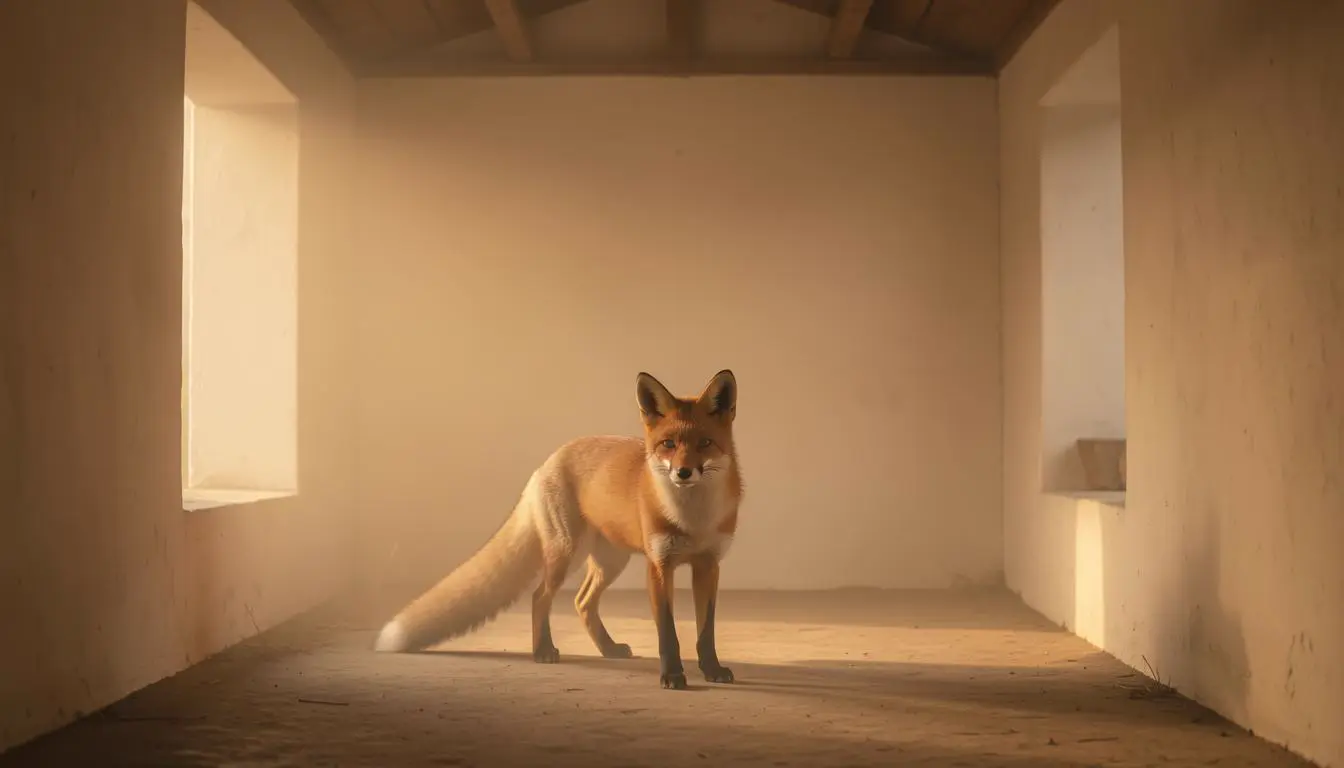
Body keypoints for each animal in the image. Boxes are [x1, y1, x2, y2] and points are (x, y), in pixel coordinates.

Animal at [373, 369, 743, 690]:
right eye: (668, 444)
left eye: (705, 443)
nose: (683, 473)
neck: (692, 519)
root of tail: (548, 460)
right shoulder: (659, 565)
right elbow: (668, 633)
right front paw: (672, 676)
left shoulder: (708, 565)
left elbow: (706, 631)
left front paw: (711, 669)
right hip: (566, 553)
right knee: (541, 596)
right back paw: (543, 651)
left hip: (610, 562)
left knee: (582, 601)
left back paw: (608, 649)